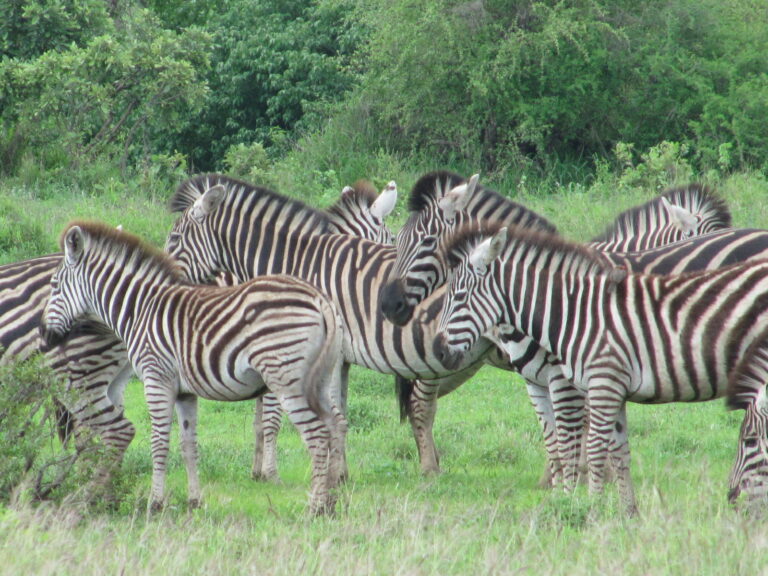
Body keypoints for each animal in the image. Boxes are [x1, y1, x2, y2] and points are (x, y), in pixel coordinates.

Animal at [39, 223, 344, 516]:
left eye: (54, 285)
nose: (44, 335)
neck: (139, 308)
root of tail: (319, 299)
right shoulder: (185, 392)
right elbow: (189, 446)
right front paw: (194, 502)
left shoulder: (156, 379)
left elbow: (159, 443)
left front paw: (155, 504)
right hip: (320, 378)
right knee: (333, 426)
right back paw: (330, 503)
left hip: (287, 379)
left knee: (317, 435)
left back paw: (315, 507)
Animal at [432, 223, 768, 516]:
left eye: (457, 296)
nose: (438, 351)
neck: (575, 313)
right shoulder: (613, 388)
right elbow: (618, 452)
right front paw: (628, 513)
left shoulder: (600, 382)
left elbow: (590, 449)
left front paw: (587, 508)